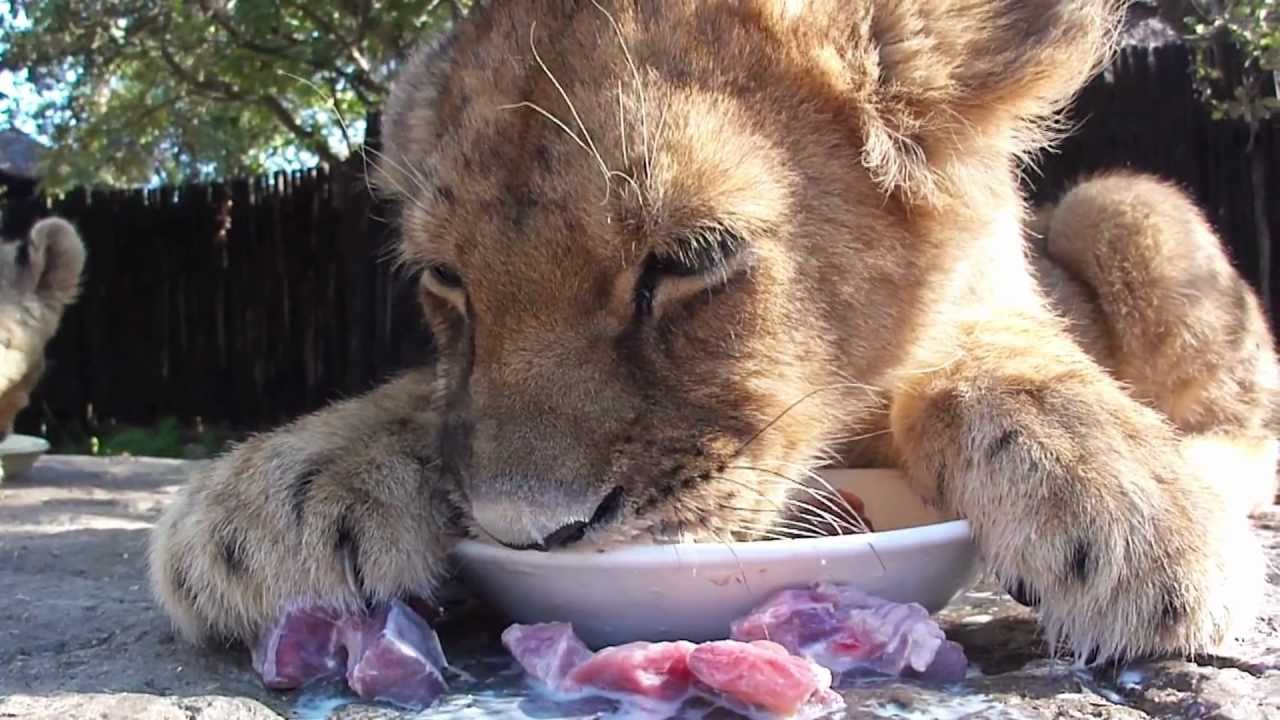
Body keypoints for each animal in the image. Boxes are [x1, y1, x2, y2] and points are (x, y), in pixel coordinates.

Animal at [149, 0, 1277, 666]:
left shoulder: (997, 299)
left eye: (691, 258)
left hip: (1122, 204)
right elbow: (419, 399)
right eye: (445, 280)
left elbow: (991, 356)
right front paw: (279, 498)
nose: (527, 533)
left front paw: (1132, 511)